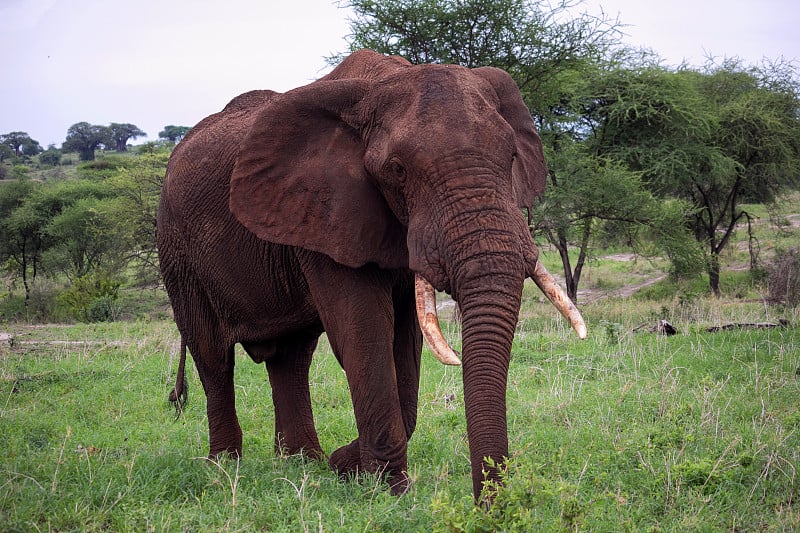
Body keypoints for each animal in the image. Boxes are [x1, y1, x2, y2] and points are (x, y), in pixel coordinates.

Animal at [158, 47, 588, 500]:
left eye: (511, 157)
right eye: (397, 170)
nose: (490, 506)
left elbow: (406, 342)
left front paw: (348, 467)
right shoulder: (326, 209)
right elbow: (364, 331)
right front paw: (383, 488)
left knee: (292, 357)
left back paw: (302, 463)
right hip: (177, 251)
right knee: (212, 355)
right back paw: (226, 468)